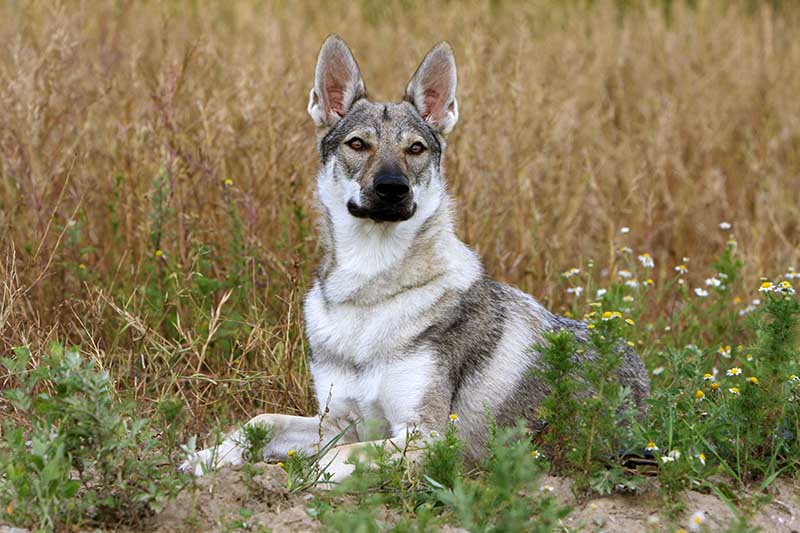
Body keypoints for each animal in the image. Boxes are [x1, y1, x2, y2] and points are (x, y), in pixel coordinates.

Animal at [183, 35, 648, 480]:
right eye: (358, 144)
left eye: (416, 149)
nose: (392, 188)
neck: (367, 296)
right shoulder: (338, 421)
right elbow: (262, 421)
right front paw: (206, 457)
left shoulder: (426, 437)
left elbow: (331, 460)